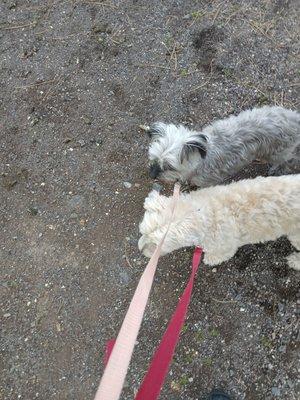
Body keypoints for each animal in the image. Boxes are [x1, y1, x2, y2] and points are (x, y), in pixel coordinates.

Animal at [138, 174, 300, 268]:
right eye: (142, 232)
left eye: (156, 245)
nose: (140, 250)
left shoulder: (225, 247)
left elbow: (218, 255)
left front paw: (210, 259)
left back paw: (295, 261)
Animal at [147, 105, 300, 188]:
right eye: (154, 159)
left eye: (169, 167)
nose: (152, 175)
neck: (201, 159)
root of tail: (294, 118)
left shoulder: (208, 182)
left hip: (278, 152)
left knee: (287, 161)